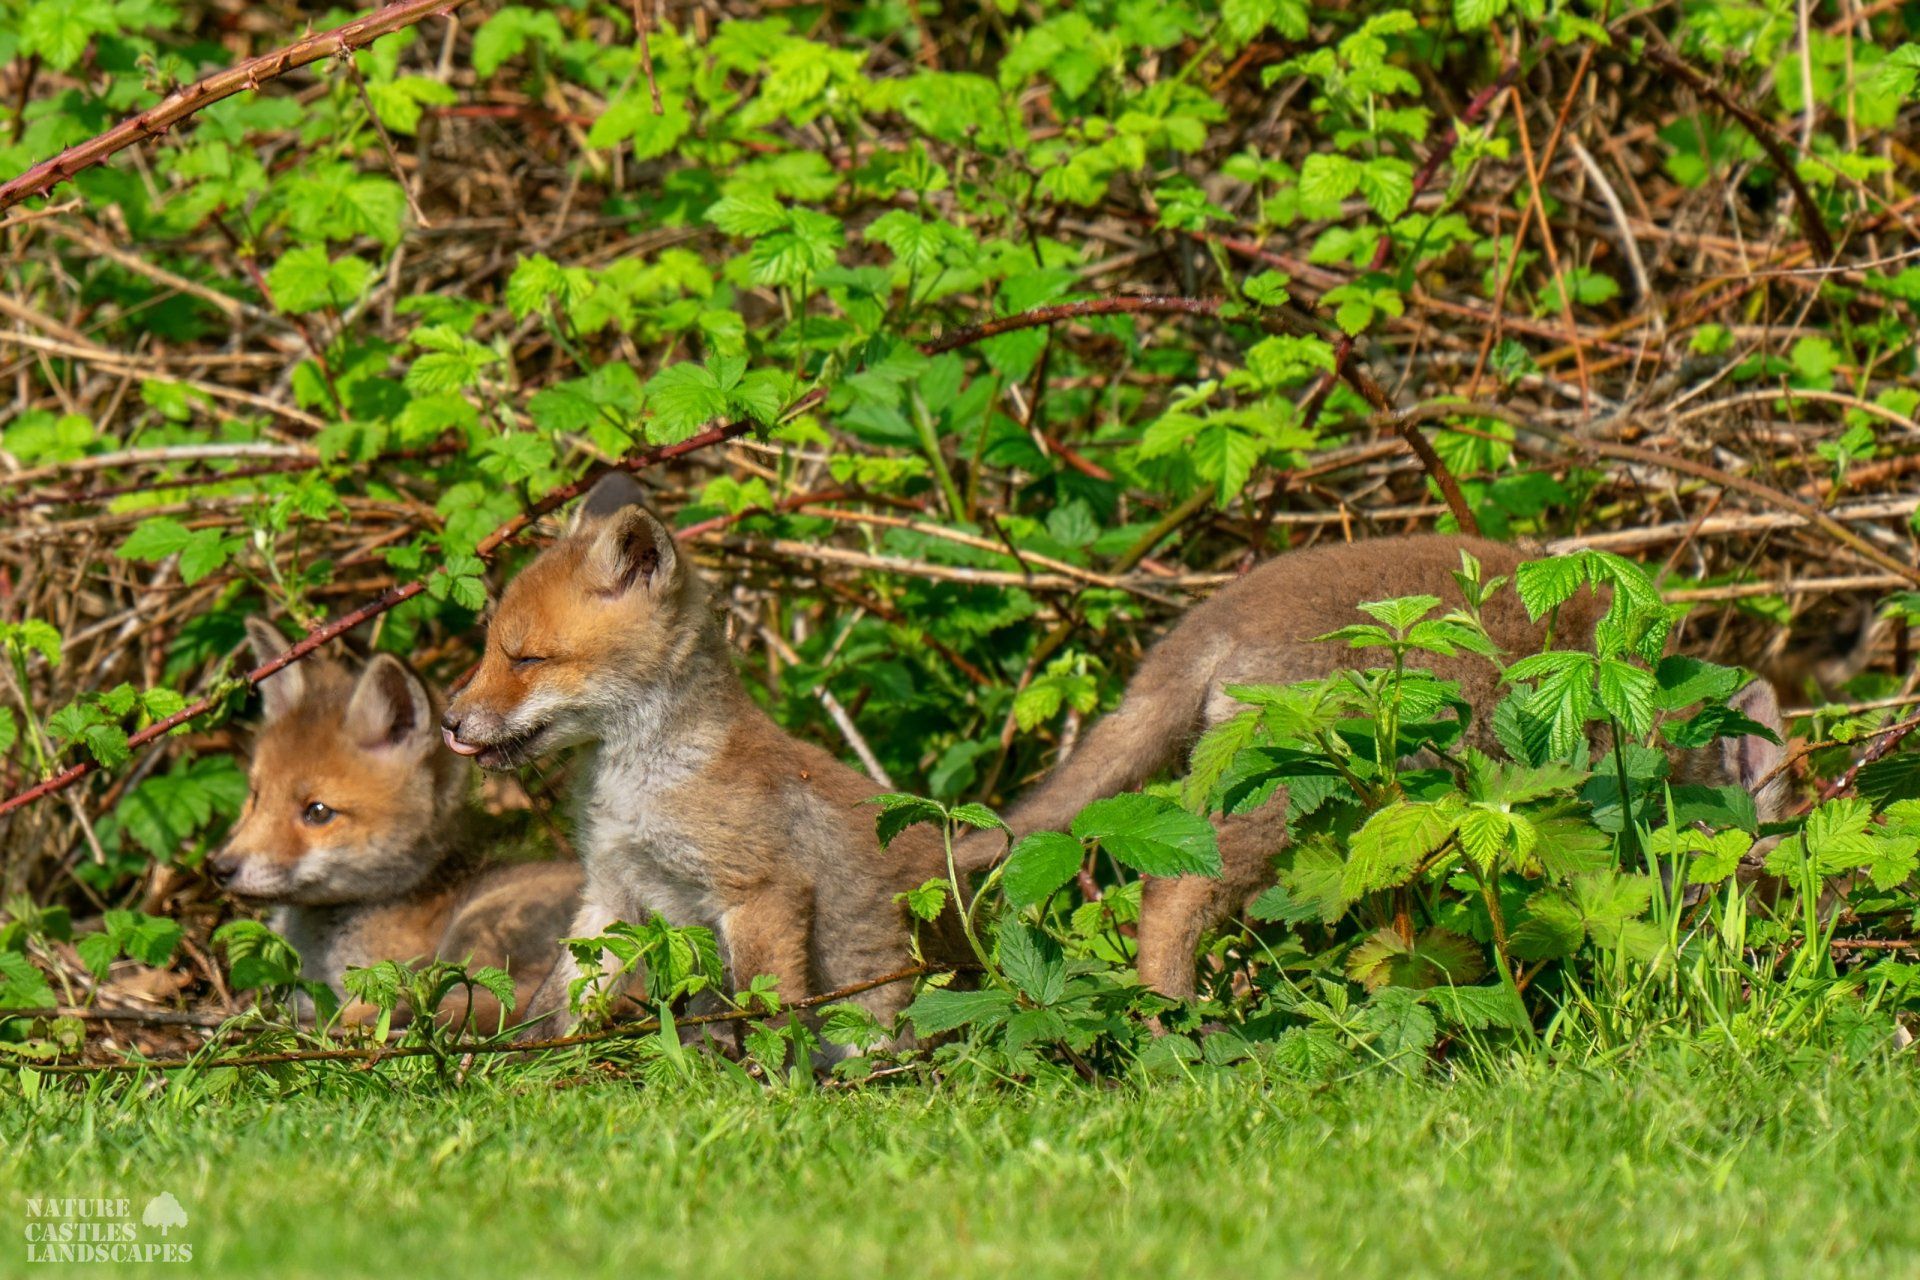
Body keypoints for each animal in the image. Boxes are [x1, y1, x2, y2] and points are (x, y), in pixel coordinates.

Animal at [440, 473, 971, 1040]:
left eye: (527, 659)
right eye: (490, 651)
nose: (449, 722)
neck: (638, 791)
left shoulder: (762, 892)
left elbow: (769, 1014)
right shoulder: (610, 889)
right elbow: (558, 1001)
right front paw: (524, 1055)